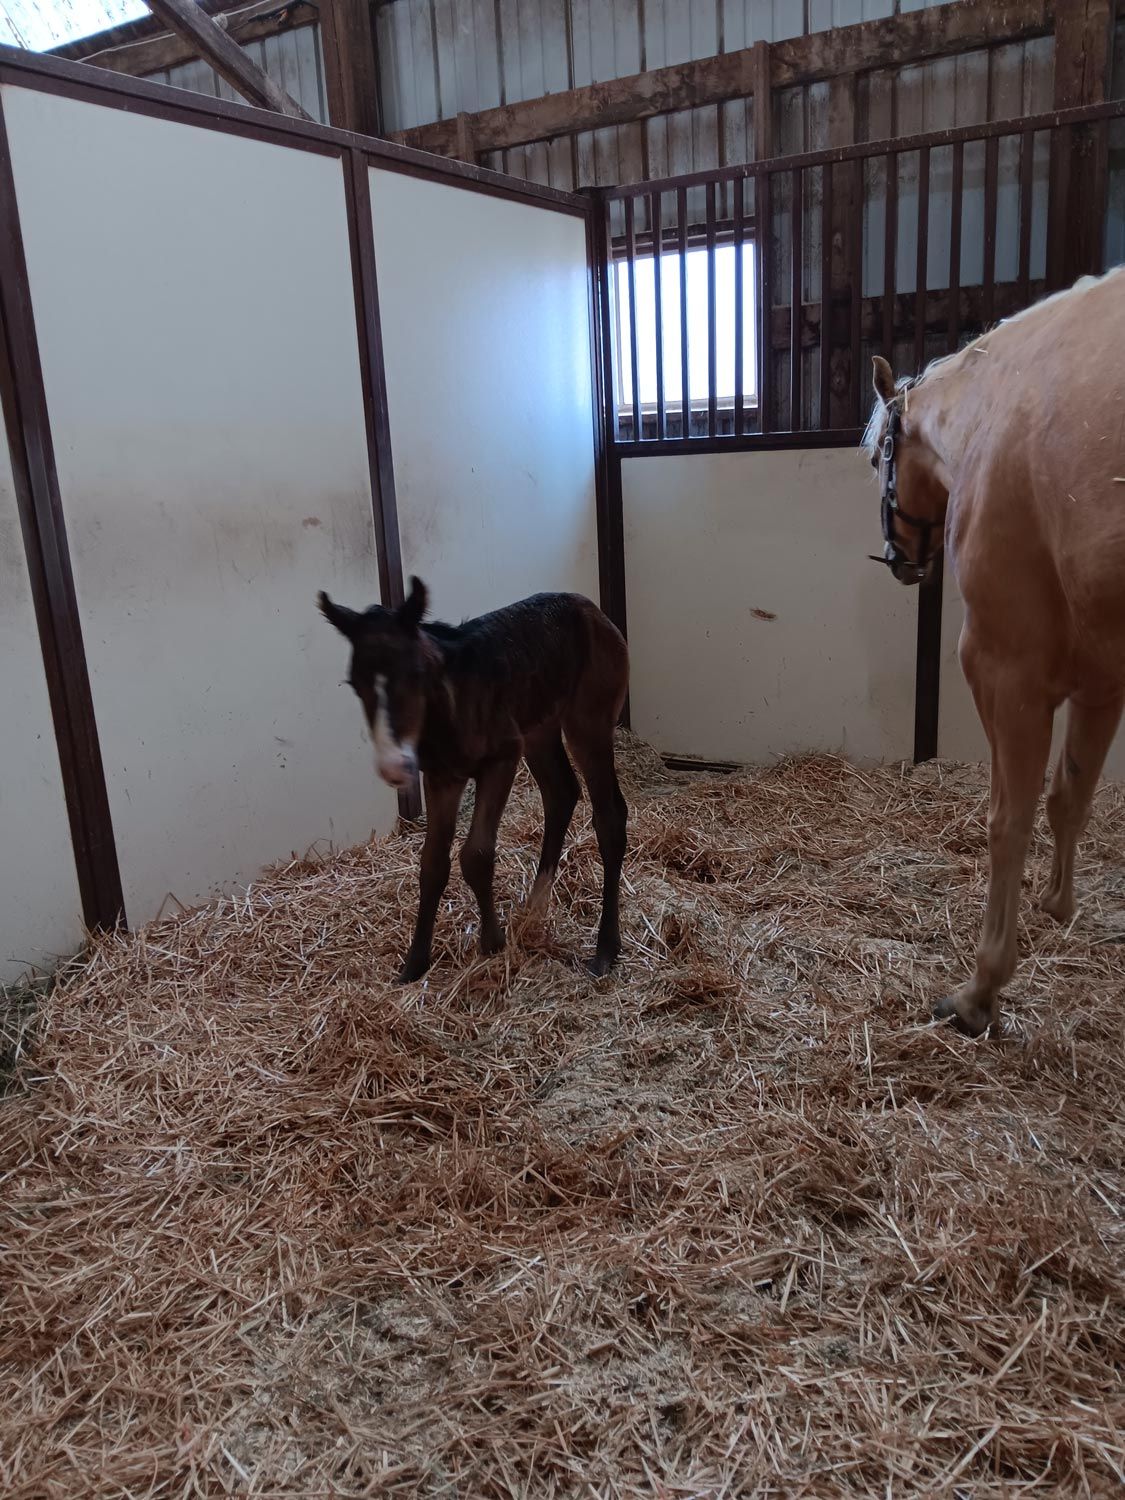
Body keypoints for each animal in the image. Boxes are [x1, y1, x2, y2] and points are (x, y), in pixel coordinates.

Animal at [318, 578, 629, 983]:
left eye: (415, 674)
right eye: (355, 684)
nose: (394, 767)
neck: (450, 704)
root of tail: (596, 613)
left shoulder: (501, 758)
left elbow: (476, 855)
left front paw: (492, 942)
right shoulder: (441, 777)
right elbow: (433, 863)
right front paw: (414, 964)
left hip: (588, 721)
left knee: (609, 817)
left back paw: (605, 948)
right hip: (539, 727)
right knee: (561, 791)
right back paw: (536, 906)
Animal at [866, 265, 1125, 1036]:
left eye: (878, 458)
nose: (899, 561)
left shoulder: (1006, 673)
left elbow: (1008, 820)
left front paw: (981, 989)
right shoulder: (1100, 682)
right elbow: (1070, 796)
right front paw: (1056, 906)